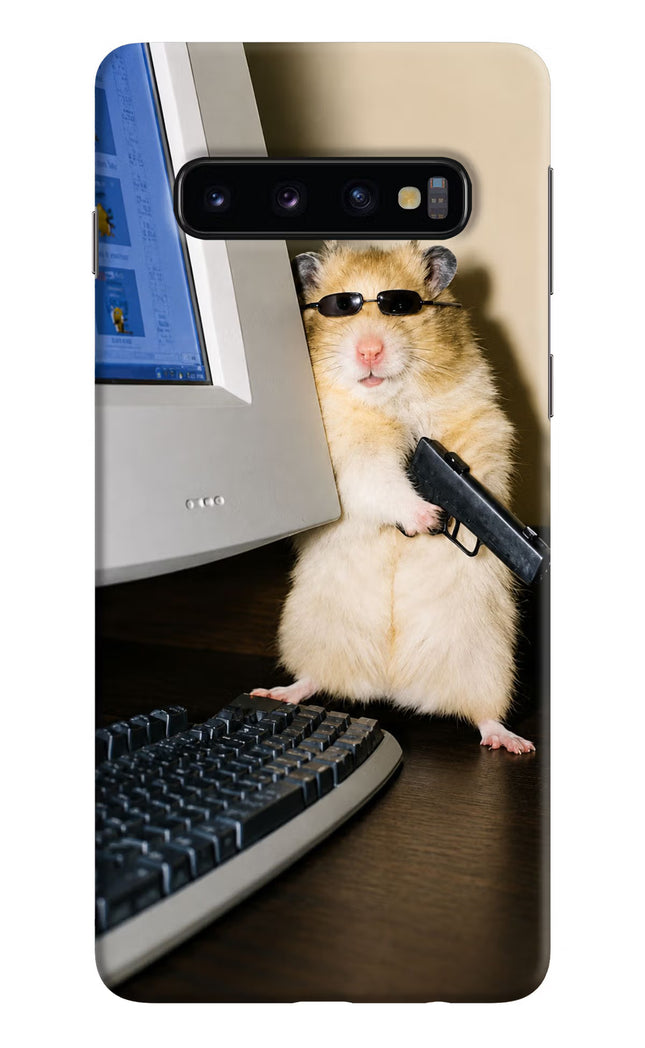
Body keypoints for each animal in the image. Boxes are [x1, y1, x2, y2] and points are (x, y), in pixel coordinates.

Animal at [252, 241, 534, 754]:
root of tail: (392, 686)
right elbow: (381, 481)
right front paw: (429, 517)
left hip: (488, 660)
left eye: (400, 306)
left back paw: (513, 742)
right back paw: (276, 692)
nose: (369, 350)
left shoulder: (480, 423)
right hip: (310, 632)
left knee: (484, 714)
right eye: (340, 307)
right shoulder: (349, 457)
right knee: (313, 678)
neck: (388, 399)